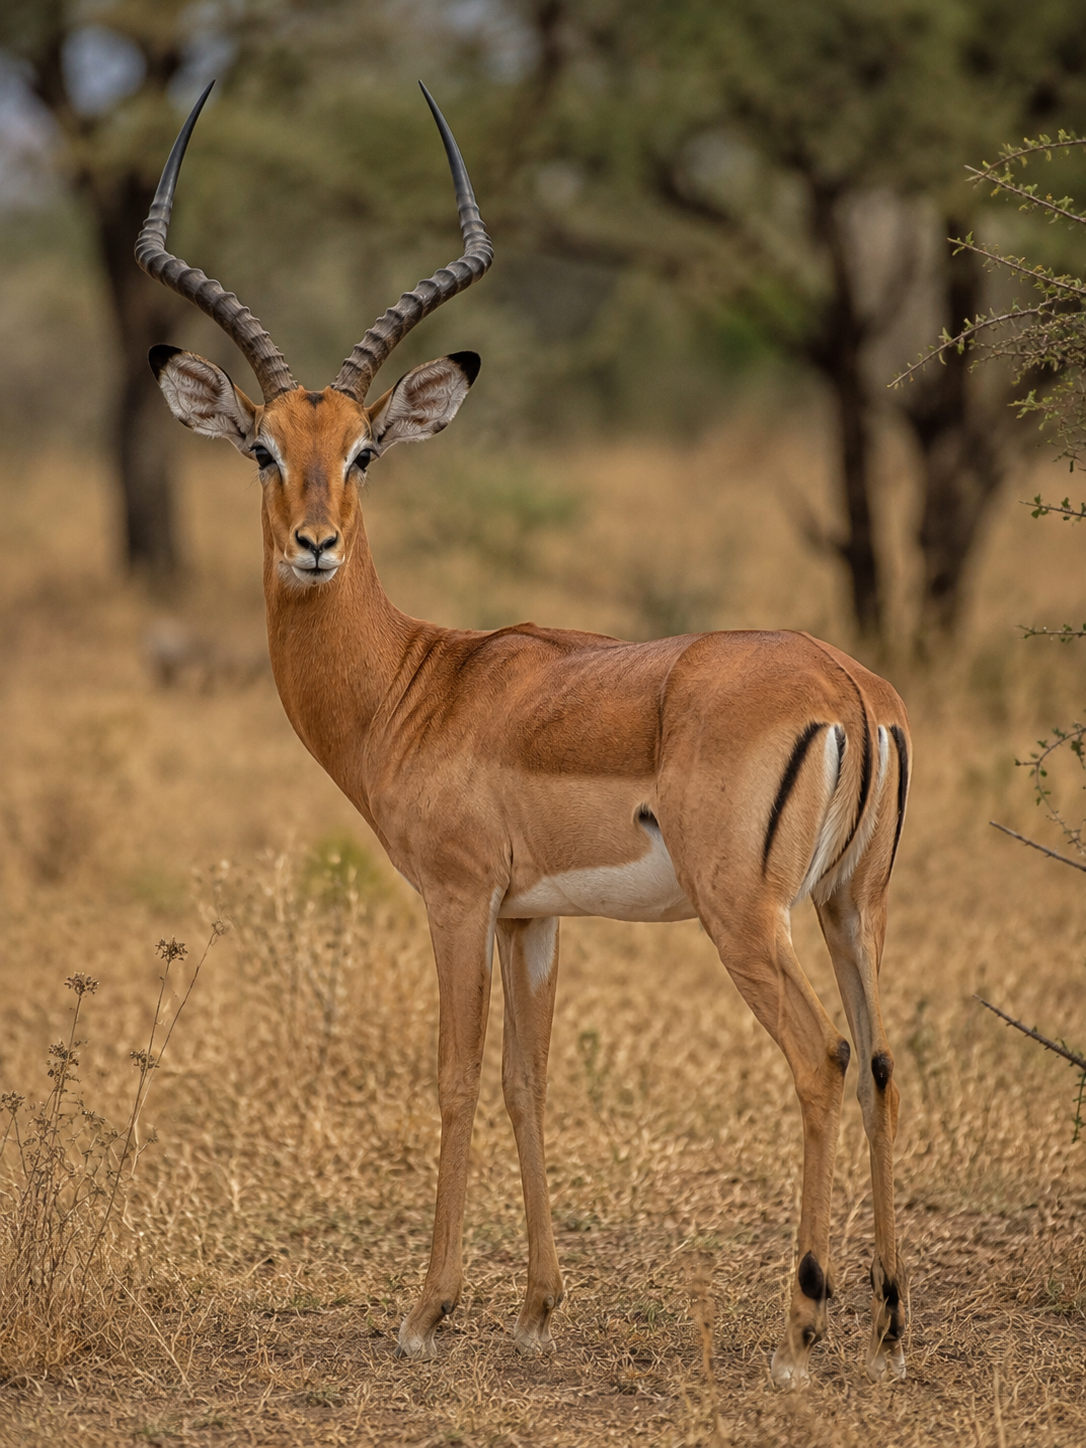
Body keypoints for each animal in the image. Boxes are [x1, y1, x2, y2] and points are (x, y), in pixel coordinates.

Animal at [137, 81, 910, 1386]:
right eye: (261, 447)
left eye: (362, 451)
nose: (314, 545)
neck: (420, 682)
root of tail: (846, 686)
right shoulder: (531, 916)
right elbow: (526, 1080)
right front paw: (541, 1307)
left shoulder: (454, 899)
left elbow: (453, 1079)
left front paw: (426, 1311)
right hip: (854, 907)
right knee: (886, 1060)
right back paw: (894, 1319)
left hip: (747, 914)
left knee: (821, 1059)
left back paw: (801, 1331)